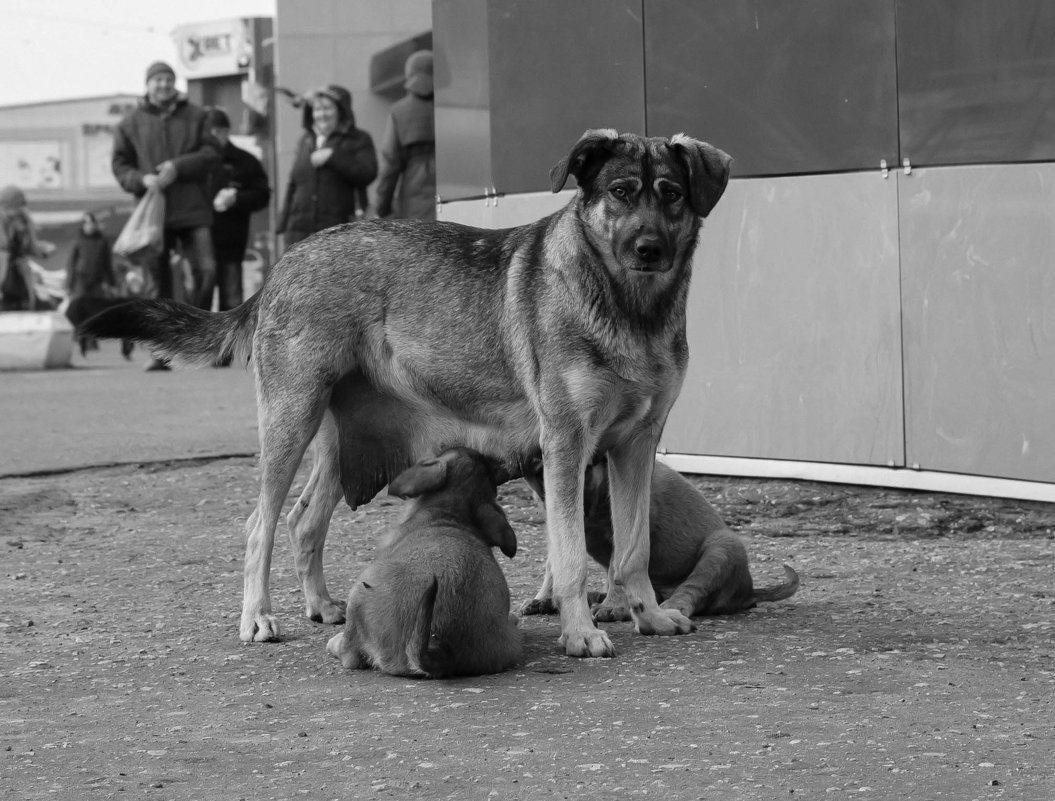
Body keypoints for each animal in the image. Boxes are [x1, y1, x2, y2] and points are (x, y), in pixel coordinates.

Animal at [523, 458, 801, 620]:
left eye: (588, 470)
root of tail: (749, 590)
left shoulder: (626, 533)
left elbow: (614, 569)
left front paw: (613, 606)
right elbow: (553, 564)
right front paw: (544, 598)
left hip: (723, 547)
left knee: (692, 589)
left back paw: (670, 606)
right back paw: (594, 596)